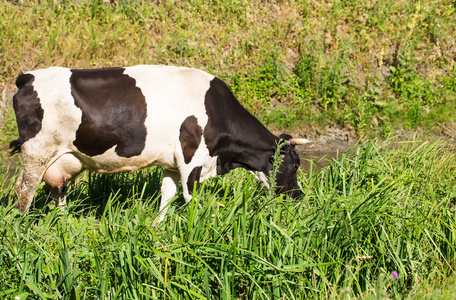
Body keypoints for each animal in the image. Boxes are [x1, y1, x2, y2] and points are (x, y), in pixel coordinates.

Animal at [10, 65, 312, 220]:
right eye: (295, 165)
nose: (299, 198)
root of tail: (28, 76)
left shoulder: (171, 164)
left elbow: (167, 196)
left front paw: (158, 228)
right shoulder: (191, 159)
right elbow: (190, 198)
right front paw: (195, 230)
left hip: (62, 158)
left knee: (56, 190)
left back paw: (63, 226)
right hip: (36, 151)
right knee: (23, 192)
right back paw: (23, 231)